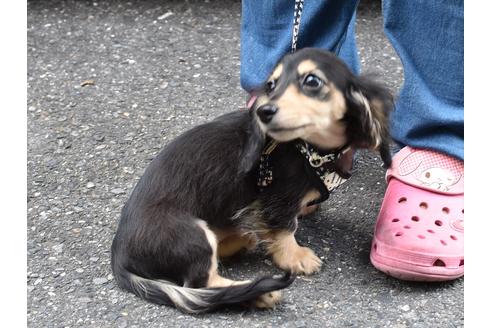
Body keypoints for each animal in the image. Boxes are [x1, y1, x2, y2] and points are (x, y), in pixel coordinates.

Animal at [110, 48, 392, 312]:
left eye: (312, 81)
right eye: (271, 85)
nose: (264, 111)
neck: (307, 148)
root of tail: (119, 253)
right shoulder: (279, 196)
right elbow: (285, 228)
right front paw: (296, 257)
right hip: (192, 235)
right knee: (203, 286)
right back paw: (259, 293)